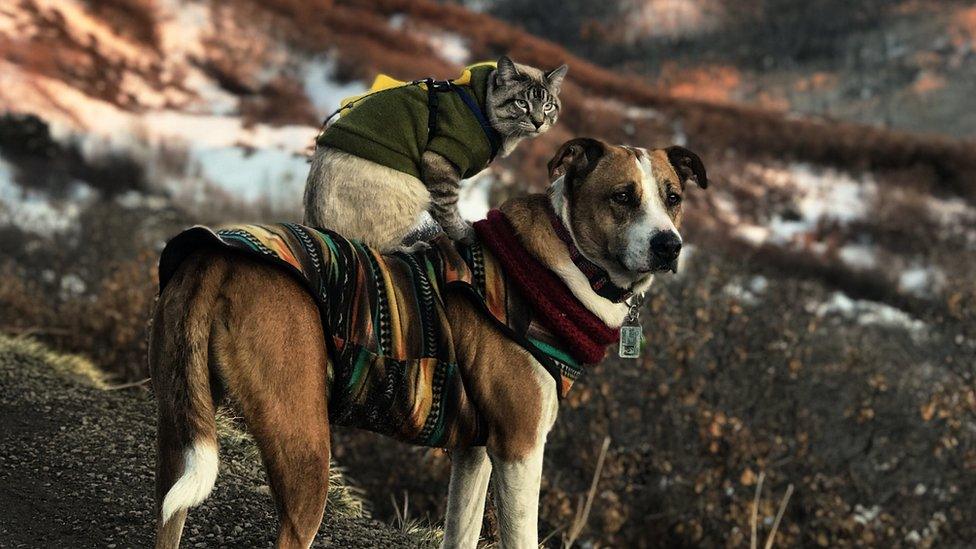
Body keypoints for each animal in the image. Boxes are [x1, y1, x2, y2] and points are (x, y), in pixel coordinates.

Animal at [149, 137, 704, 548]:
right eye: (623, 197)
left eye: (673, 197)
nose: (669, 246)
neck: (564, 261)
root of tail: (215, 259)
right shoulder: (520, 450)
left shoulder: (476, 454)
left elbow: (461, 532)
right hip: (304, 452)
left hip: (179, 430)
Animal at [304, 55, 564, 250]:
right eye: (522, 104)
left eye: (548, 106)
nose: (539, 122)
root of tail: (316, 224)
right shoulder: (443, 160)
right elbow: (449, 209)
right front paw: (465, 234)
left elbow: (441, 209)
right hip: (414, 191)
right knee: (374, 246)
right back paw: (411, 247)